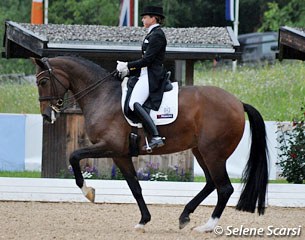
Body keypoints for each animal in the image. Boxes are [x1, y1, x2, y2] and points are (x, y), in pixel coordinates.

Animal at [32, 55, 268, 232]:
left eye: (43, 82)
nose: (46, 116)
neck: (102, 96)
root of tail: (238, 103)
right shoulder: (121, 155)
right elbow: (135, 187)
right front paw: (143, 221)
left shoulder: (110, 147)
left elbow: (74, 156)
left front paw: (88, 192)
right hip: (200, 151)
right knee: (212, 183)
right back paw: (185, 216)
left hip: (213, 153)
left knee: (224, 188)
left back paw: (206, 227)